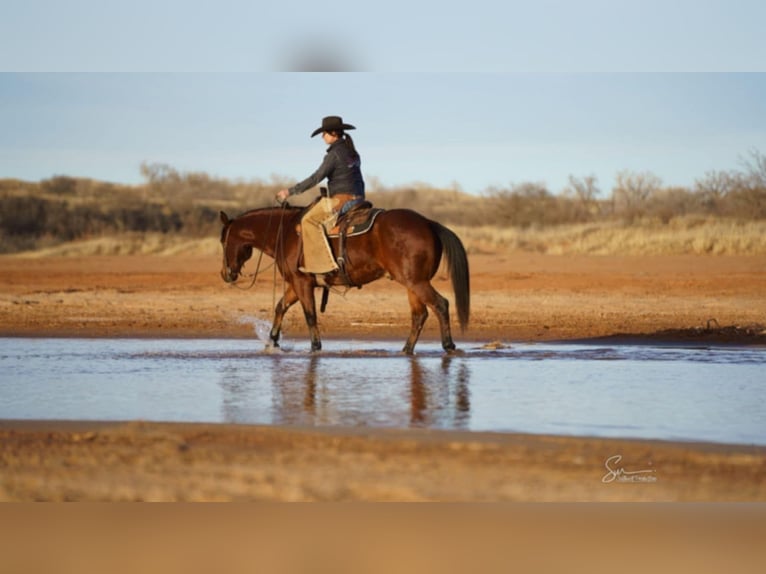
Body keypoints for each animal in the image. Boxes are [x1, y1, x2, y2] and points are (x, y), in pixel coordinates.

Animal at [219, 202, 472, 356]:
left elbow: (310, 316)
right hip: (412, 284)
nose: (225, 274)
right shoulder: (297, 284)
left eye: (223, 241)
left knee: (441, 304)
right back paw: (406, 350)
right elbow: (281, 306)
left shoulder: (302, 283)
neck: (286, 233)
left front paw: (315, 348)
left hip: (417, 283)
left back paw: (448, 346)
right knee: (420, 314)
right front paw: (272, 342)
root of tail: (428, 223)